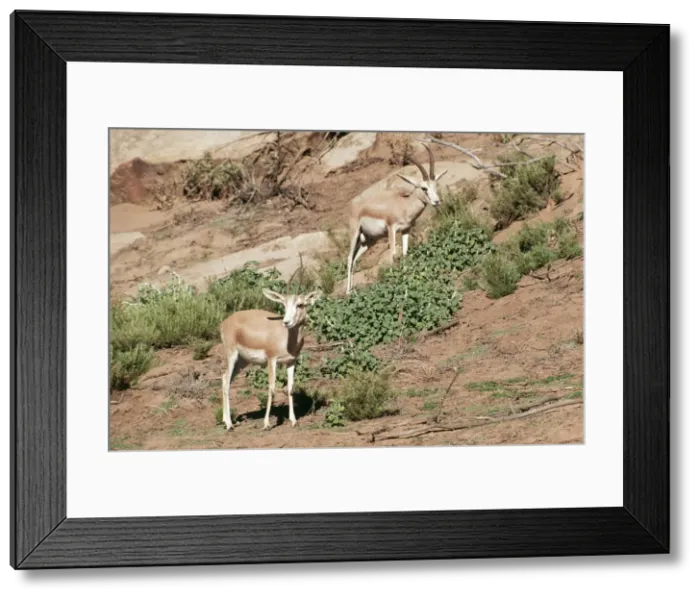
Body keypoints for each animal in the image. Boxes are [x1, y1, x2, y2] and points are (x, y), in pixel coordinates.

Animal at [219, 269, 323, 432]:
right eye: (284, 305)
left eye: (300, 304)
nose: (286, 322)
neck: (287, 340)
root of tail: (225, 322)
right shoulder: (271, 360)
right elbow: (272, 388)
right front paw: (267, 423)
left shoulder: (291, 362)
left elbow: (290, 388)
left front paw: (293, 421)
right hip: (232, 356)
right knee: (226, 381)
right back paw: (229, 425)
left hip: (242, 361)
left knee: (225, 379)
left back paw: (226, 421)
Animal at [346, 142, 448, 294]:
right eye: (423, 188)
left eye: (435, 186)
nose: (437, 201)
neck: (403, 204)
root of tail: (354, 202)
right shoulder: (391, 228)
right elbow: (393, 254)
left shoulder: (406, 230)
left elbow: (405, 253)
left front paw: (405, 279)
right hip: (355, 234)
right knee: (349, 257)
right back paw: (347, 292)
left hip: (368, 241)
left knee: (354, 259)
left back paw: (352, 290)